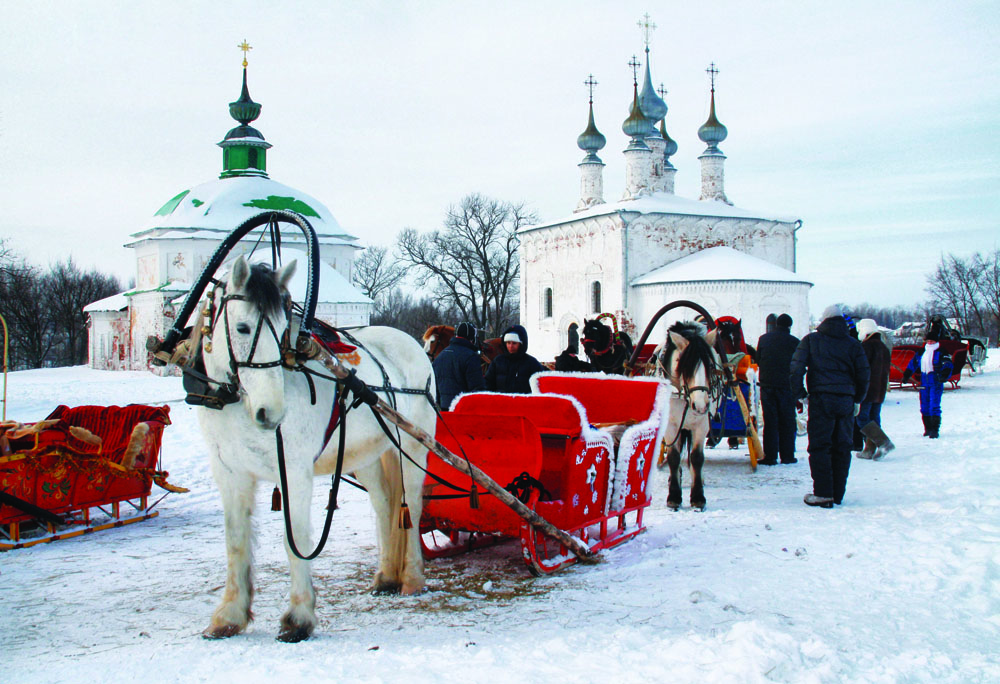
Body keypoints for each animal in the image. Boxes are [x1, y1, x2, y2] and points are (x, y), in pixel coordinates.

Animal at [195, 255, 434, 640]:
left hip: (413, 444)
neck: (236, 402)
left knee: (410, 504)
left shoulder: (294, 472)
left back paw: (412, 577)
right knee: (384, 504)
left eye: (283, 332)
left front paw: (299, 617)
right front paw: (229, 616)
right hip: (365, 453)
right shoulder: (229, 473)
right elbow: (235, 541)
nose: (271, 412)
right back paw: (385, 575)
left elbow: (295, 540)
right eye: (243, 328)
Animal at [656, 320, 720, 508]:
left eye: (710, 366)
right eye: (683, 366)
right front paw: (674, 496)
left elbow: (697, 457)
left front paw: (698, 496)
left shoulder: (702, 424)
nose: (700, 405)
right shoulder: (671, 426)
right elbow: (674, 457)